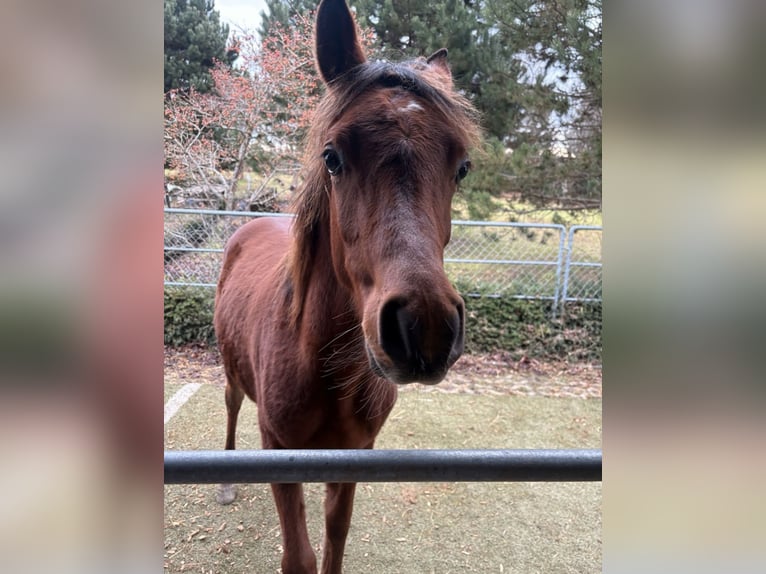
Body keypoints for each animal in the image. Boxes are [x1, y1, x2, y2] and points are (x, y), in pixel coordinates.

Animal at [213, 1, 480, 572]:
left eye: (463, 167)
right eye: (332, 156)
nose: (423, 328)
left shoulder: (356, 456)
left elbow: (335, 541)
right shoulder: (278, 450)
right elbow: (299, 555)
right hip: (229, 372)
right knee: (230, 405)